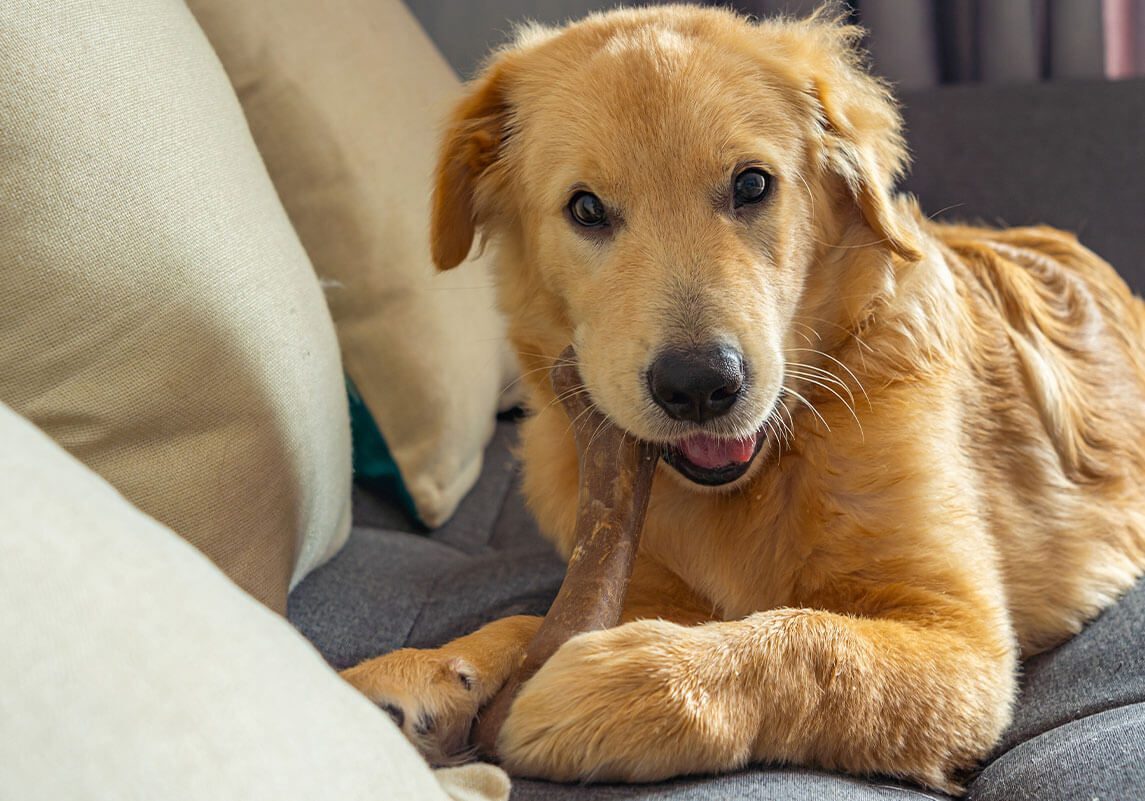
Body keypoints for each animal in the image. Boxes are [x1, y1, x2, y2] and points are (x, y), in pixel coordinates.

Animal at [343, 4, 1145, 796]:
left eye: (752, 185)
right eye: (586, 209)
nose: (700, 385)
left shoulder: (964, 639)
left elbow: (811, 642)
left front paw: (620, 683)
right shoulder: (639, 573)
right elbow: (529, 621)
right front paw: (423, 669)